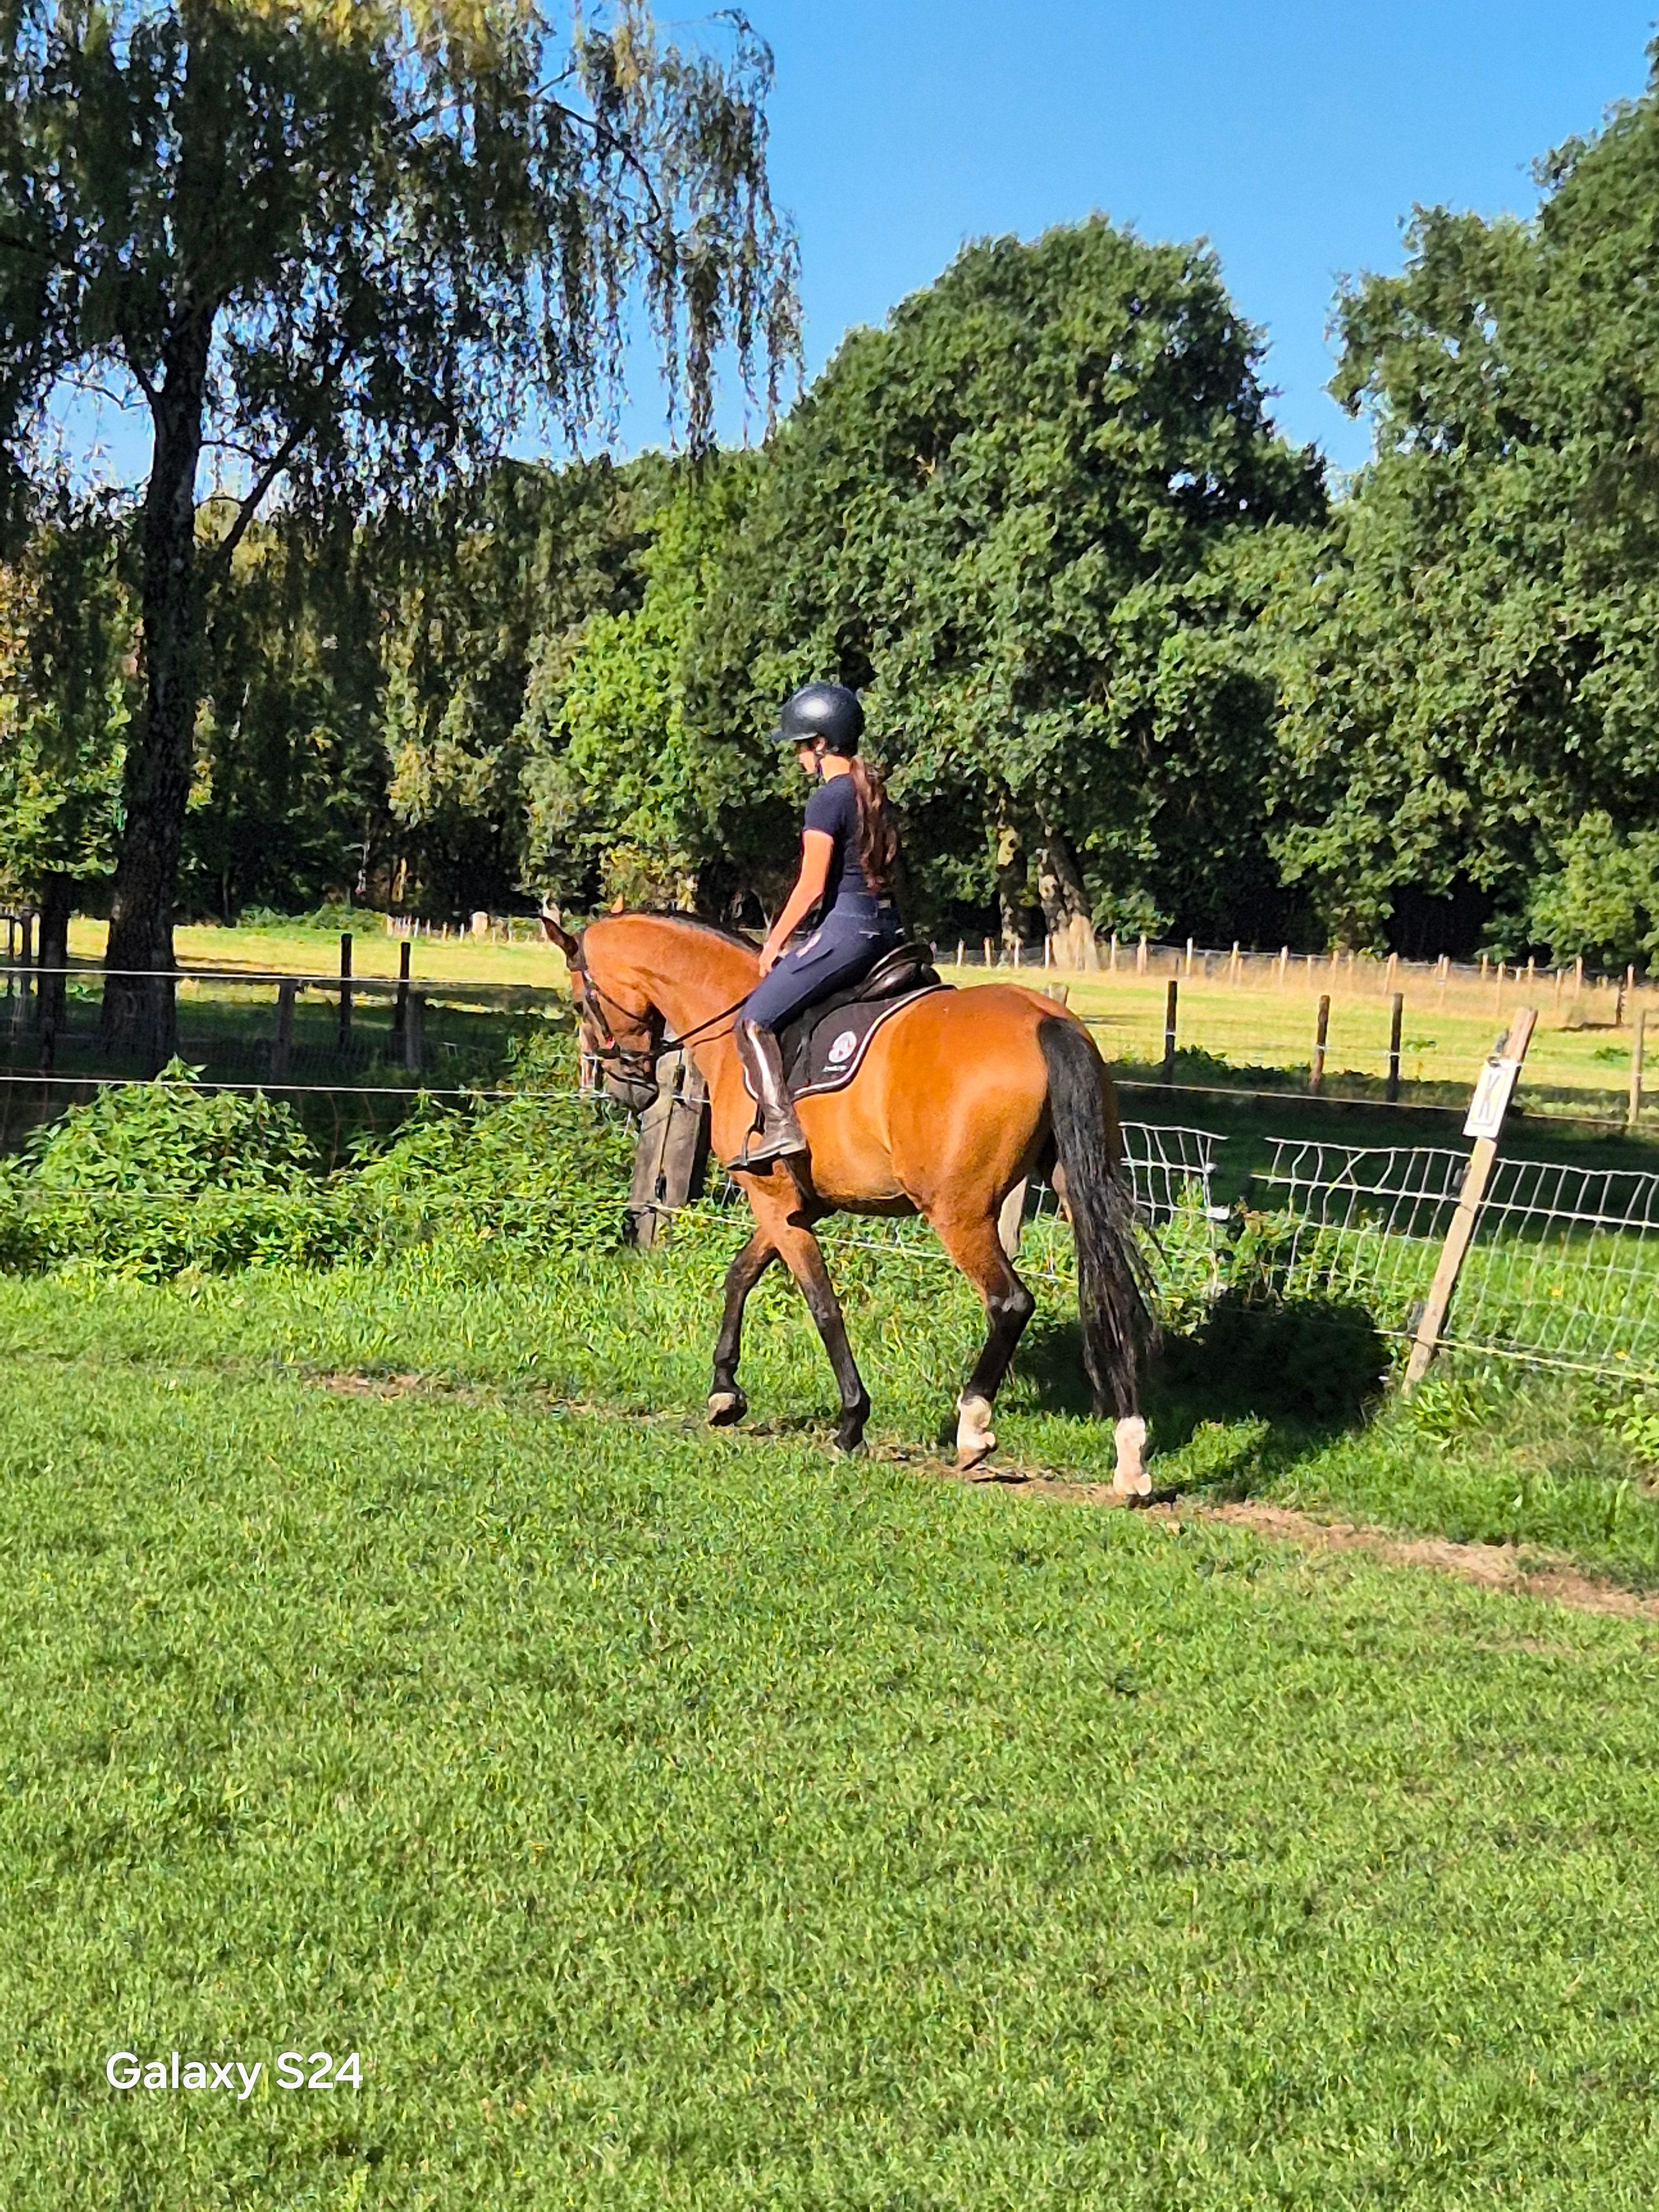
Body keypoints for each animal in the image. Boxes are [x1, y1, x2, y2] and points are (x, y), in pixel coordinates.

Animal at [542, 910, 1154, 1494]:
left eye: (579, 1002)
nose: (628, 1091)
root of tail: (1043, 1018)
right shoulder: (792, 1205)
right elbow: (741, 1275)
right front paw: (725, 1391)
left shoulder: (774, 1203)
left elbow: (821, 1305)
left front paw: (851, 1421)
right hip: (1076, 1188)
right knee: (1115, 1295)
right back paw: (1130, 1455)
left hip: (959, 1215)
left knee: (1010, 1304)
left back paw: (974, 1427)